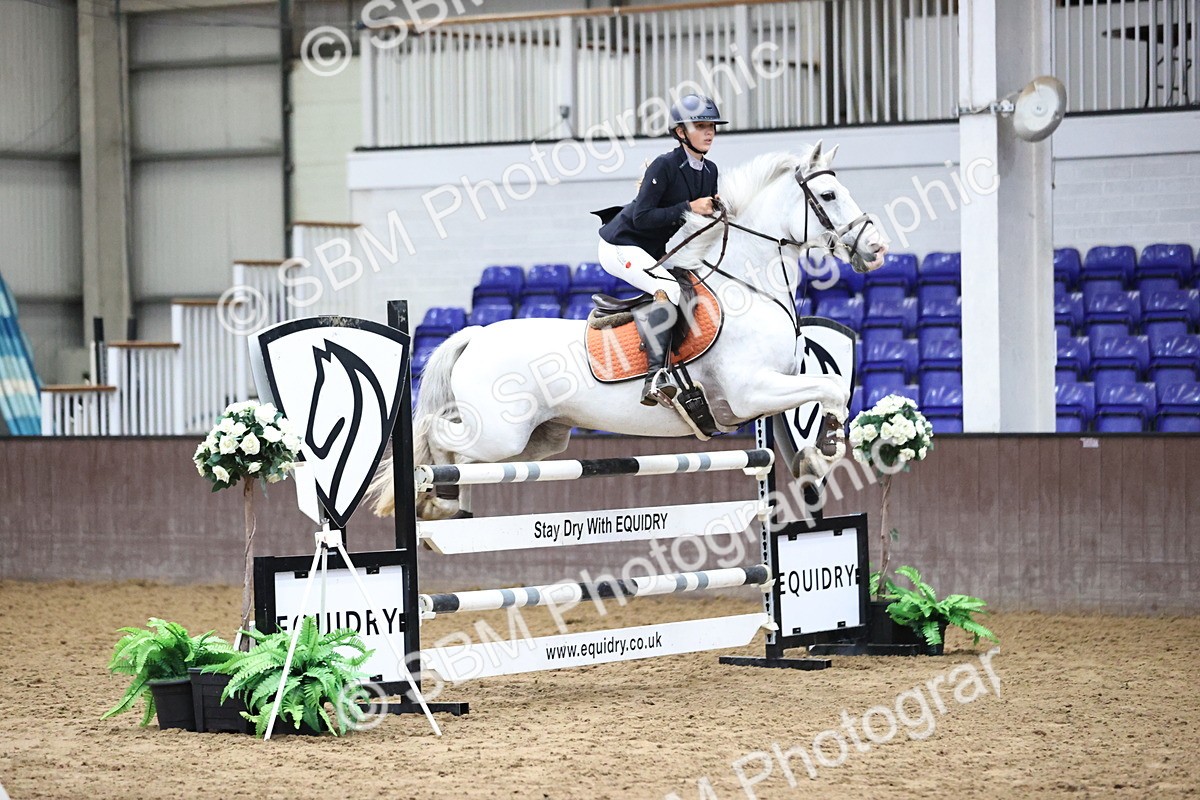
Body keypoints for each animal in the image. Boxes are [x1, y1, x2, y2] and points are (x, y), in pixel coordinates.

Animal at [373, 142, 887, 519]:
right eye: (829, 196)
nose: (877, 248)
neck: (750, 285)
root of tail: (475, 334)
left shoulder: (772, 388)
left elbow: (830, 388)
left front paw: (818, 455)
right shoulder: (751, 393)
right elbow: (829, 387)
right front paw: (820, 454)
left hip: (538, 437)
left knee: (464, 458)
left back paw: (445, 503)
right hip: (501, 433)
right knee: (437, 434)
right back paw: (432, 498)